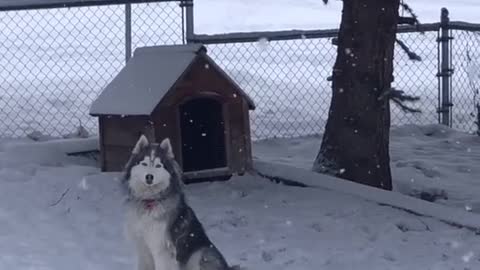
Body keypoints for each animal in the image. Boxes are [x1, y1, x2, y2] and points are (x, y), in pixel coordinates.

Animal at [122, 136, 236, 270]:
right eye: (144, 164)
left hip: (199, 254)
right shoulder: (143, 248)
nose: (149, 177)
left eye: (158, 165)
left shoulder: (162, 249)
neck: (150, 201)